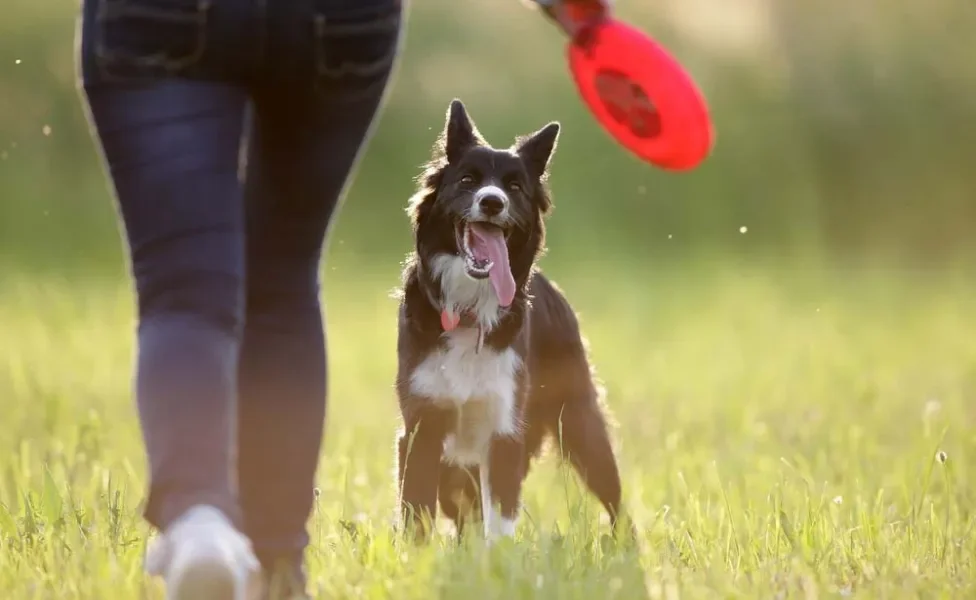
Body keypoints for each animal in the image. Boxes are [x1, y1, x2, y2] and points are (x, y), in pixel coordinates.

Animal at [390, 99, 624, 544]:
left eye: (514, 188)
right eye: (468, 179)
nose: (492, 202)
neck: (468, 310)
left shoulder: (504, 430)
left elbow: (498, 524)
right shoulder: (422, 427)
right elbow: (417, 516)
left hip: (581, 422)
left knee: (615, 500)